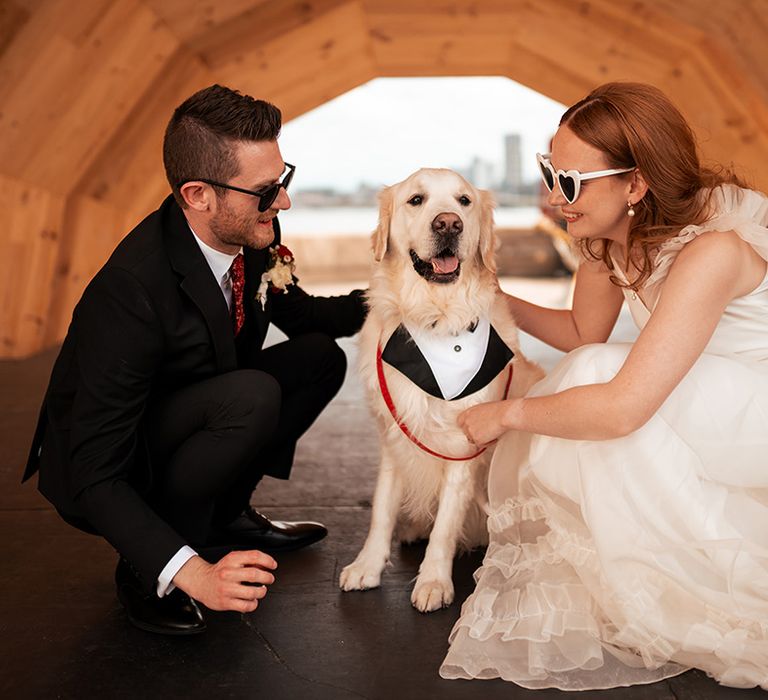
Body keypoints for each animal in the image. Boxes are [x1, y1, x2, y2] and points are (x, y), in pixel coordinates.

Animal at [340, 167, 544, 608]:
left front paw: (434, 581)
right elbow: (382, 507)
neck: (434, 319)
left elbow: (447, 524)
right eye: (416, 200)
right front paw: (367, 565)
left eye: (464, 201)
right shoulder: (393, 435)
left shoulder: (463, 446)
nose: (449, 223)